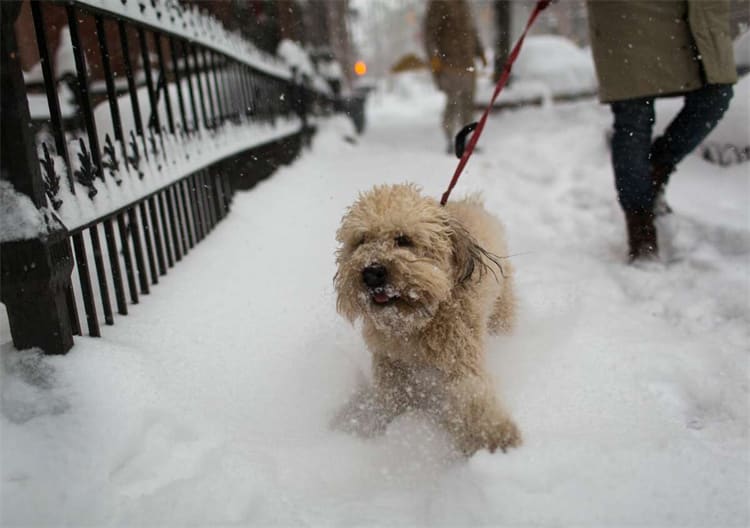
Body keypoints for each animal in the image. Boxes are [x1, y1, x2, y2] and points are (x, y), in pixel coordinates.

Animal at [336, 183, 524, 454]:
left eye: (403, 239)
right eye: (361, 240)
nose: (371, 272)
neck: (415, 321)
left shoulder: (459, 354)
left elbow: (470, 393)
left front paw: (494, 435)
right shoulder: (389, 358)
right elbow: (394, 392)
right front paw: (398, 424)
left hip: (501, 306)